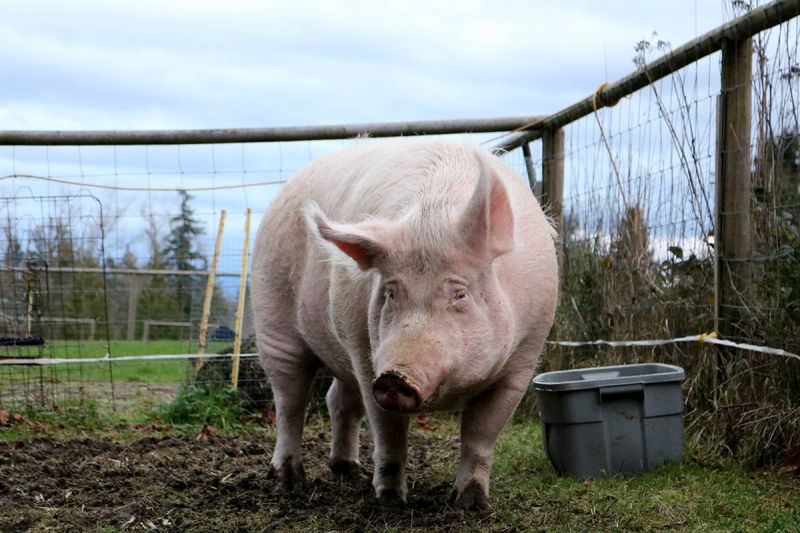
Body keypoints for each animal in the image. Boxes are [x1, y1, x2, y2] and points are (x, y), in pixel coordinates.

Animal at [251, 140, 557, 510]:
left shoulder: (524, 358)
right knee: (289, 402)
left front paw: (470, 505)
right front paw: (390, 501)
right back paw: (289, 479)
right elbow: (388, 432)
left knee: (337, 399)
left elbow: (480, 434)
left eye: (460, 294)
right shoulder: (367, 357)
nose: (395, 377)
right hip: (273, 315)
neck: (434, 215)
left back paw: (348, 472)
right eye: (391, 293)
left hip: (342, 350)